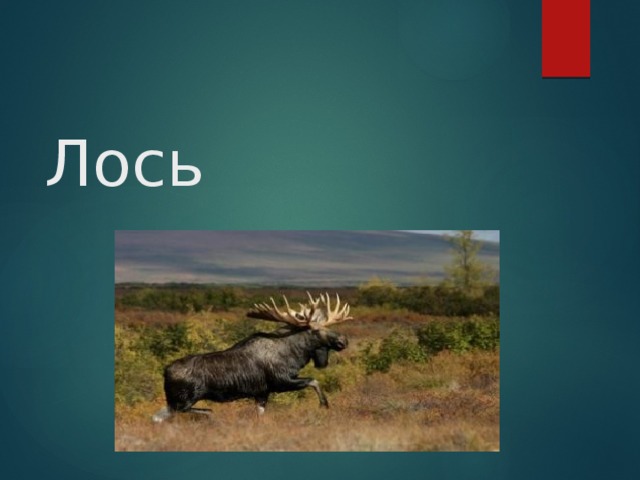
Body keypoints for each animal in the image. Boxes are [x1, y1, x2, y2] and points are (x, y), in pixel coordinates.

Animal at [152, 292, 352, 422]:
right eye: (315, 330)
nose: (343, 340)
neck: (294, 354)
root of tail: (165, 371)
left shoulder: (262, 393)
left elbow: (260, 415)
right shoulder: (281, 382)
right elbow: (314, 381)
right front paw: (324, 405)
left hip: (174, 400)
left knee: (158, 416)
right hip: (183, 399)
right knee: (169, 414)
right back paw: (209, 414)